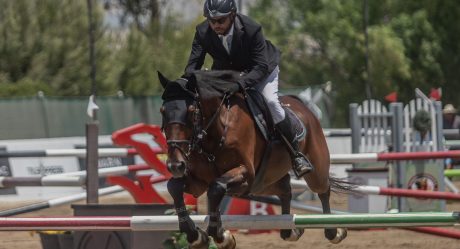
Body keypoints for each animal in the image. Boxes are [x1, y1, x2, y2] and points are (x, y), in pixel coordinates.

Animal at [158, 70, 348, 249]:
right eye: (162, 111)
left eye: (191, 111)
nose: (175, 165)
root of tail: (303, 106)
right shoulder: (199, 181)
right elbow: (174, 187)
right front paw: (196, 236)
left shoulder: (245, 173)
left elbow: (216, 187)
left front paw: (221, 237)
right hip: (264, 183)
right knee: (285, 189)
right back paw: (291, 231)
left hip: (314, 170)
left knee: (323, 190)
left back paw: (335, 231)